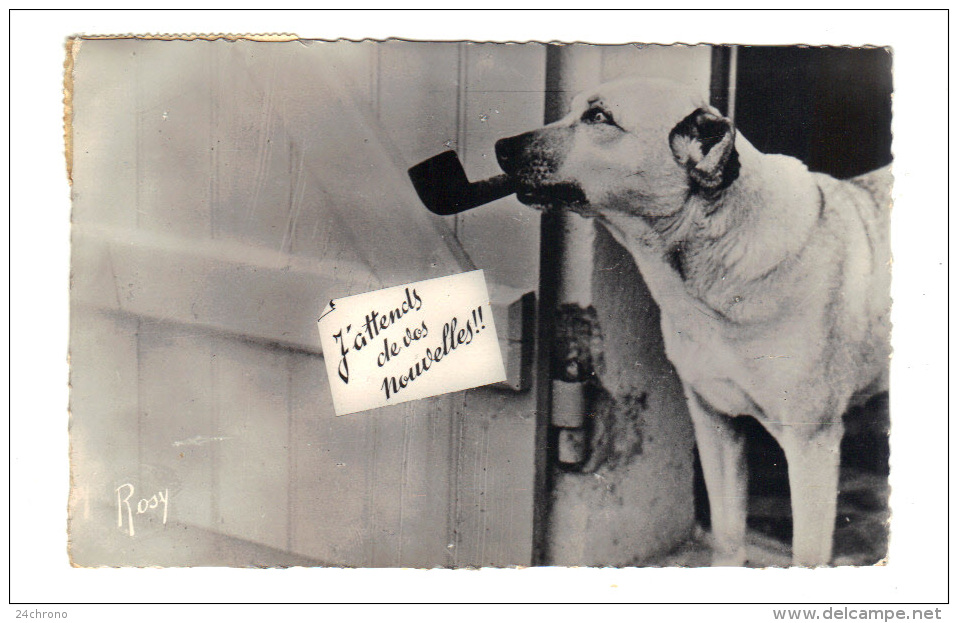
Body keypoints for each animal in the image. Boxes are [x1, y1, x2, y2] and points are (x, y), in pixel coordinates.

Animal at [496, 78, 892, 564]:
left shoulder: (811, 443)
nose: (501, 147)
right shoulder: (715, 424)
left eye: (599, 118)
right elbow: (727, 536)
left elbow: (806, 555)